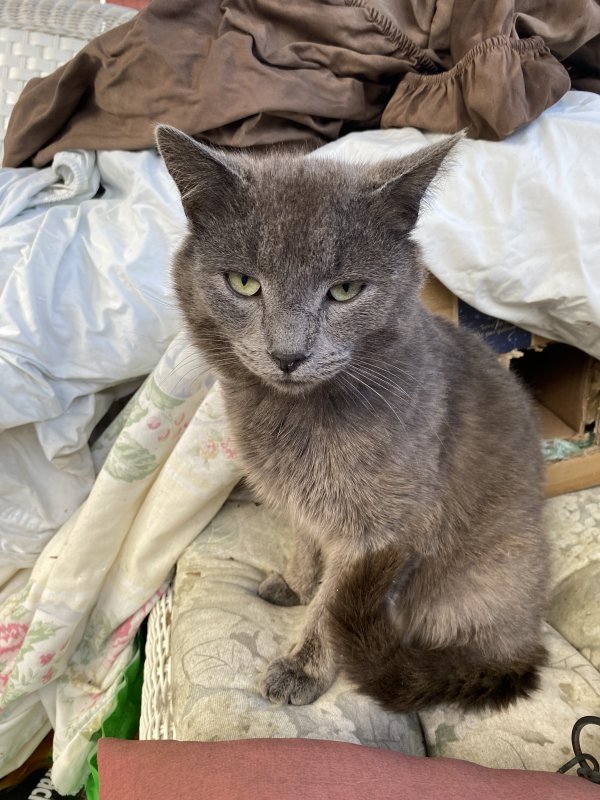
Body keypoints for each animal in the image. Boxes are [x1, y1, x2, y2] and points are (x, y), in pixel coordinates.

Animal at [156, 126, 548, 712]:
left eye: (344, 290)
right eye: (244, 283)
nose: (288, 354)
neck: (294, 420)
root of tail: (531, 642)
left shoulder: (381, 529)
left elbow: (335, 602)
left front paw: (301, 666)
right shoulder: (299, 500)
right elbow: (303, 539)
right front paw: (295, 583)